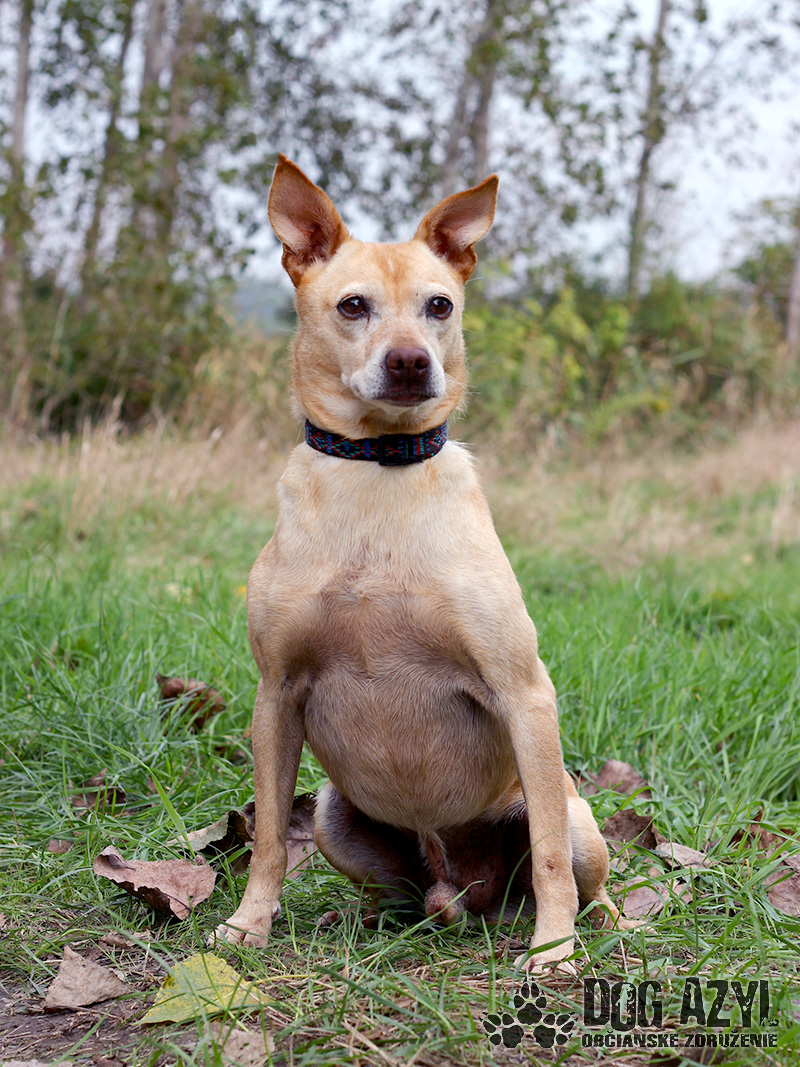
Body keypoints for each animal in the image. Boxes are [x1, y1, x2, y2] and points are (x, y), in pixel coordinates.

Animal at [215, 156, 626, 970]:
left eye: (440, 305)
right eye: (353, 306)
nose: (410, 362)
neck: (381, 470)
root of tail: (456, 886)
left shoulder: (523, 694)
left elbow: (547, 854)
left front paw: (554, 951)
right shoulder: (276, 695)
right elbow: (270, 837)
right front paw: (248, 925)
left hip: (577, 816)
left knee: (578, 869)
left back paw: (602, 924)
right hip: (337, 815)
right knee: (397, 893)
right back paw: (371, 915)